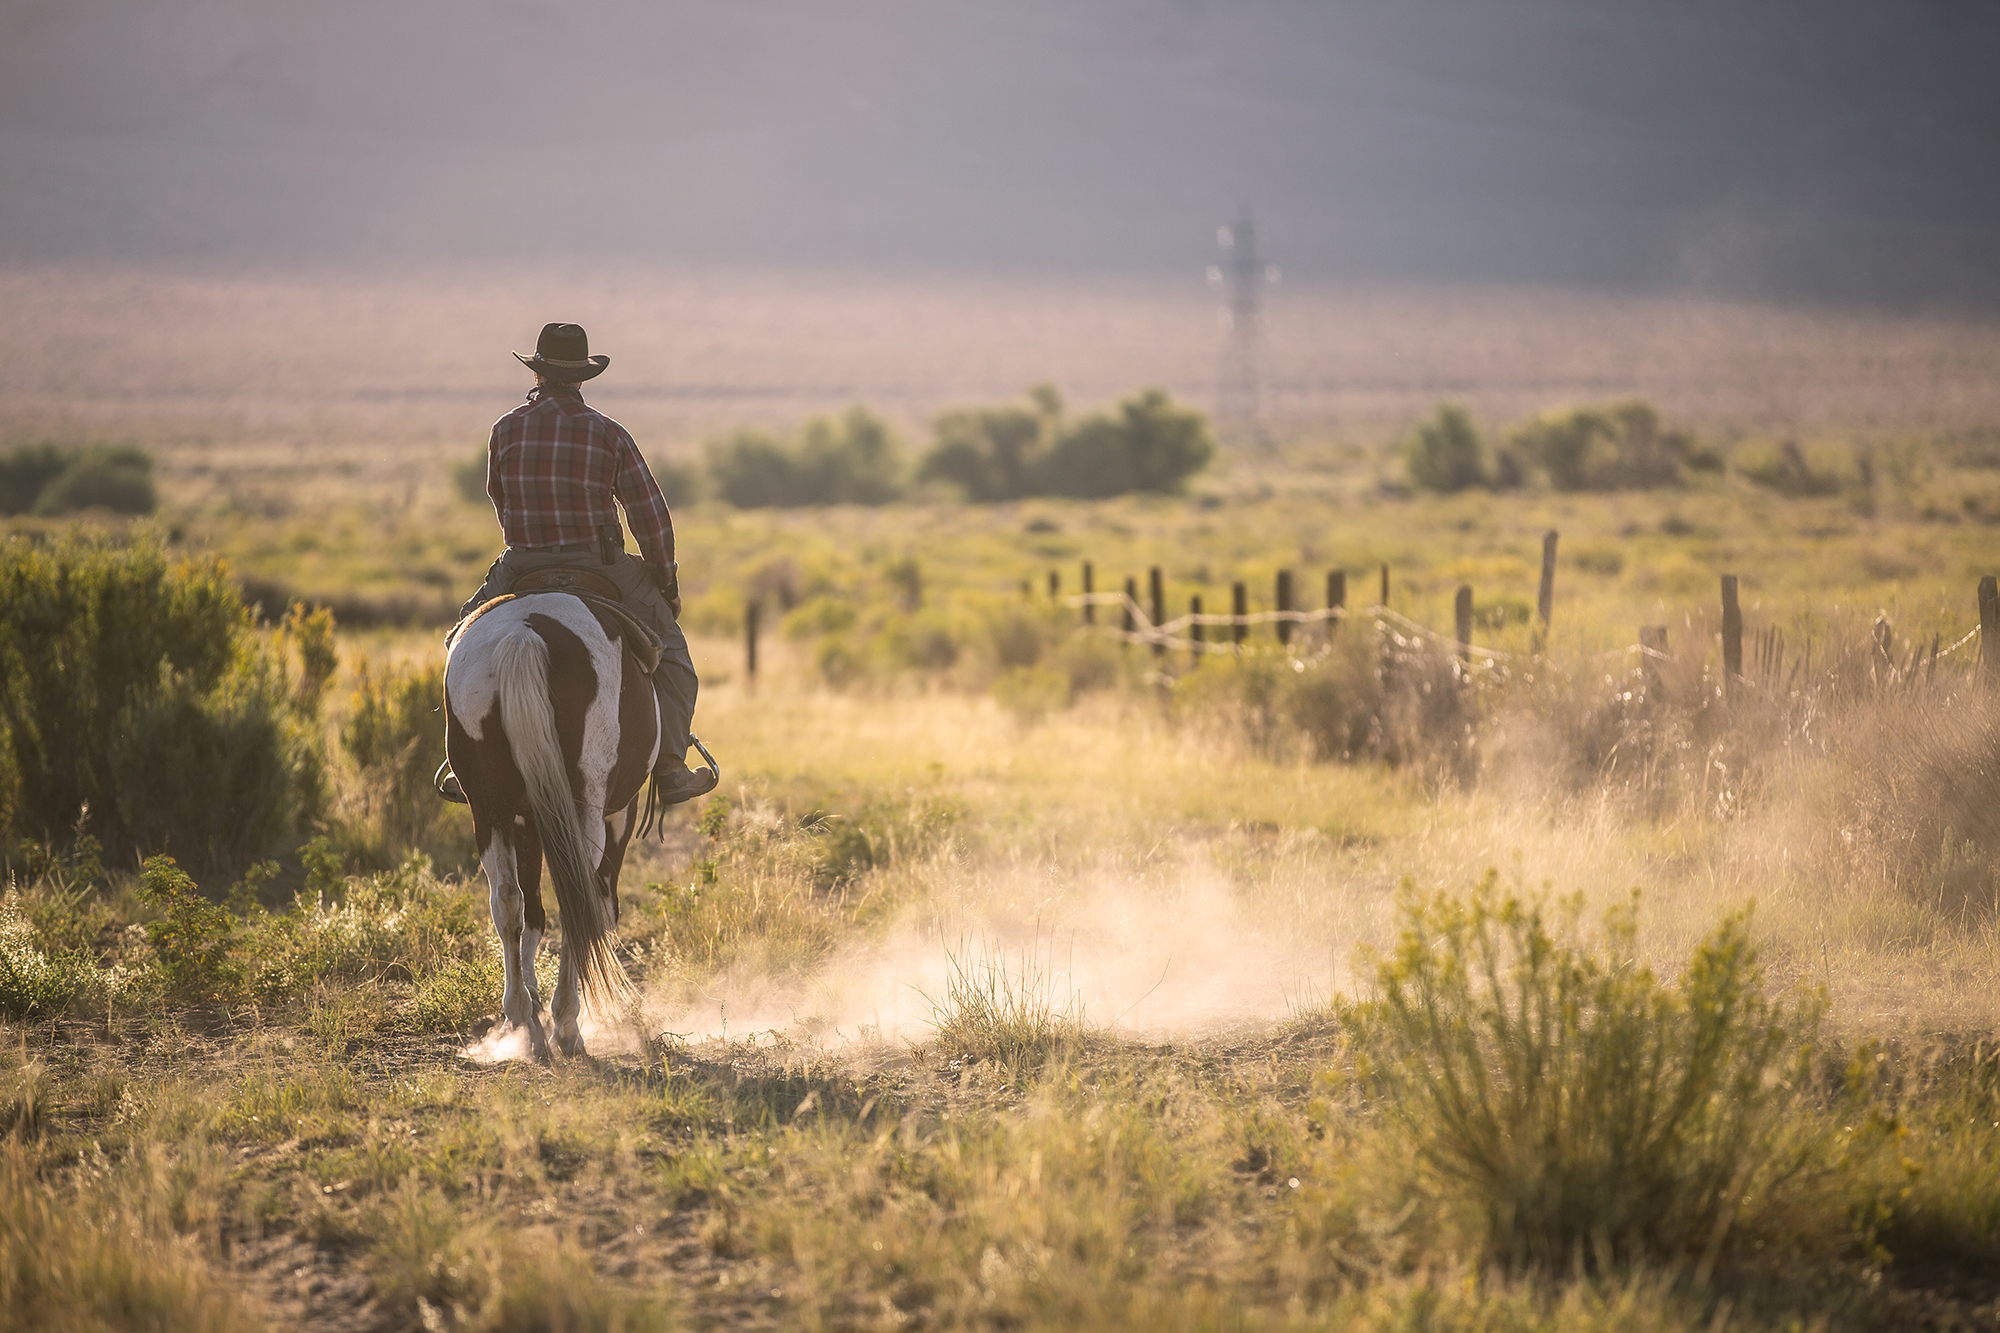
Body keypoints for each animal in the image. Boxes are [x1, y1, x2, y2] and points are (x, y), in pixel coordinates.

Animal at [442, 592, 668, 1056]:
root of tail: (522, 634)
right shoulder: (619, 814)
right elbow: (597, 907)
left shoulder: (527, 817)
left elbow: (531, 910)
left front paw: (531, 1004)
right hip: (586, 808)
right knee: (577, 899)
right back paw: (565, 1024)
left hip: (487, 806)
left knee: (507, 899)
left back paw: (522, 1020)